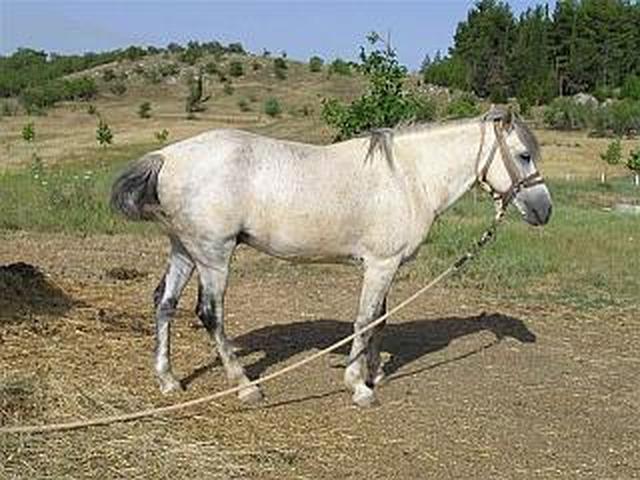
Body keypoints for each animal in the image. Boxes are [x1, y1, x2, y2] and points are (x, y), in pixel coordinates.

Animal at [111, 107, 551, 407]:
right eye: (523, 155)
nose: (544, 210)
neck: (408, 177)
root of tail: (168, 156)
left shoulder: (384, 267)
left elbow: (379, 320)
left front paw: (375, 374)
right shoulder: (380, 265)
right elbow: (365, 319)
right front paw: (359, 386)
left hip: (184, 250)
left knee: (164, 304)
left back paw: (168, 380)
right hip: (214, 255)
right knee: (209, 314)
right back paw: (246, 386)